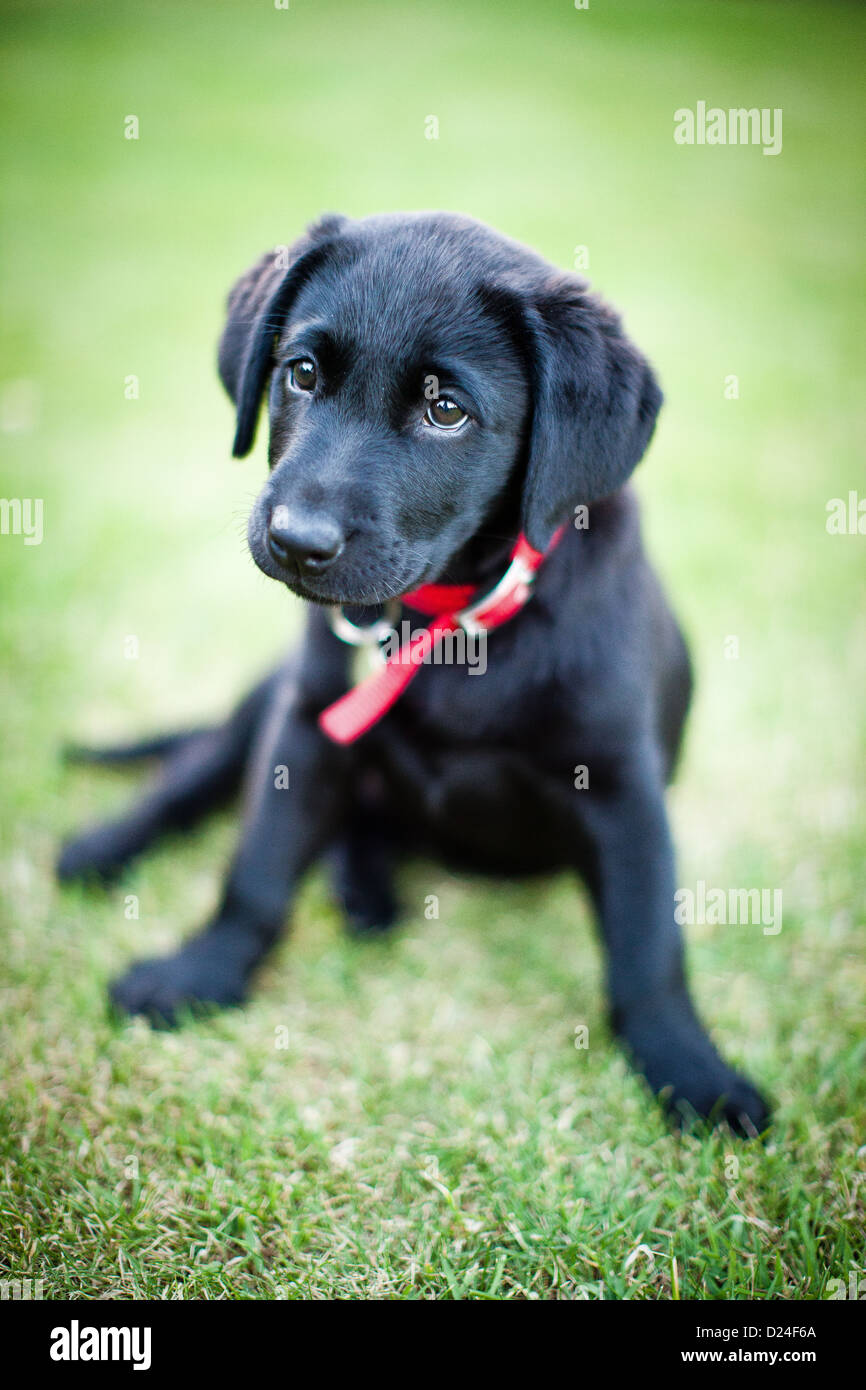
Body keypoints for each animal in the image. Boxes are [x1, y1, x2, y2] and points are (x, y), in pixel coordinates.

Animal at [57, 211, 767, 1134]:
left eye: (446, 410)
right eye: (302, 372)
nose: (297, 541)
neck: (456, 626)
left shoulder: (623, 787)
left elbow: (648, 948)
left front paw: (692, 1071)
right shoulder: (307, 728)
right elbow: (256, 872)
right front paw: (199, 974)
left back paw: (364, 886)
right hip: (265, 705)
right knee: (188, 774)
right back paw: (106, 848)